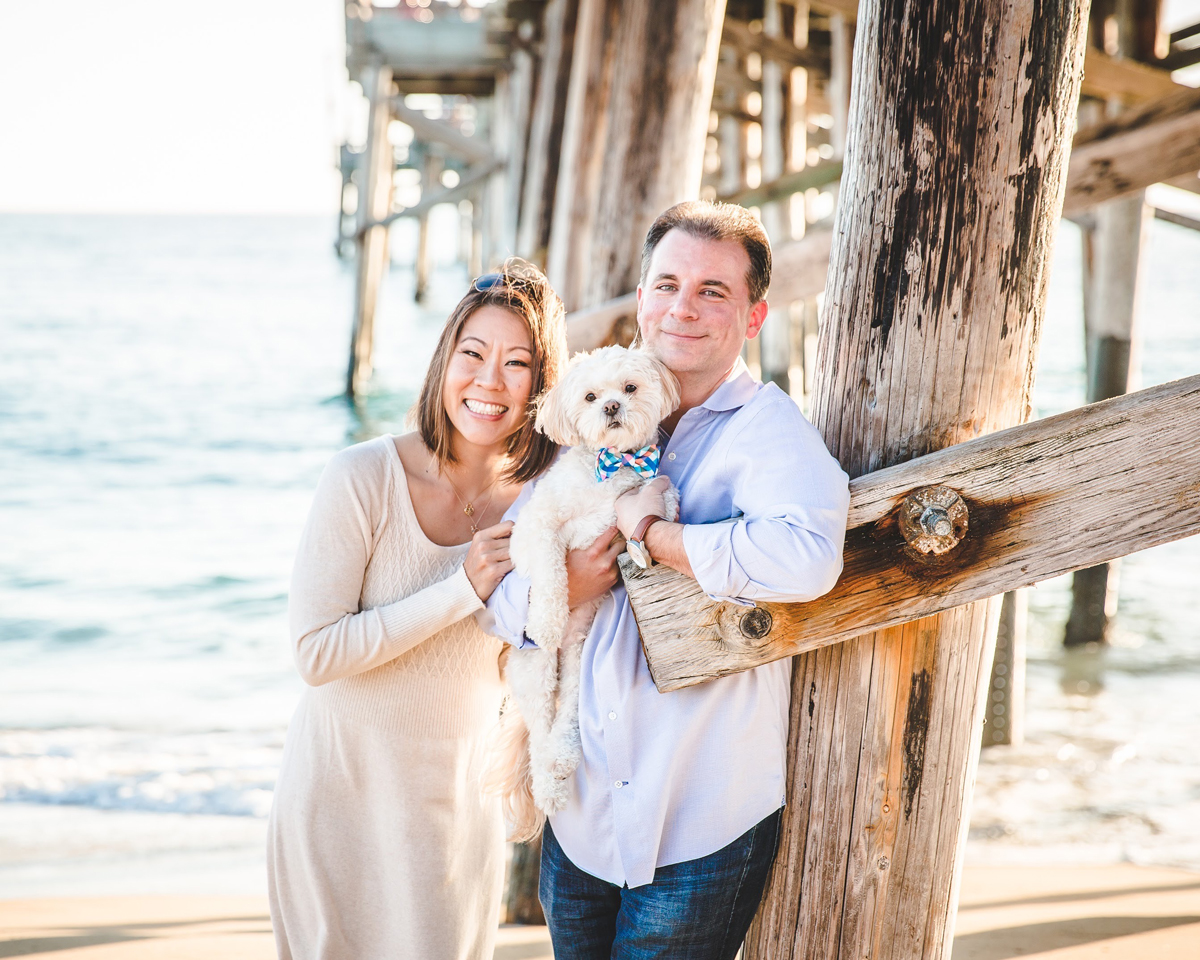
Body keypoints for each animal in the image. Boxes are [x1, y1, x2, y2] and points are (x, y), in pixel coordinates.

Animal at [492, 345, 681, 840]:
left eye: (630, 387)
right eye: (591, 396)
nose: (612, 406)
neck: (612, 468)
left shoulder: (643, 491)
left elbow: (664, 498)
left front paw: (644, 539)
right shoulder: (536, 525)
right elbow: (552, 566)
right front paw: (546, 618)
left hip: (577, 665)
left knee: (565, 718)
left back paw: (562, 760)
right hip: (536, 669)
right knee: (538, 733)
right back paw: (549, 787)